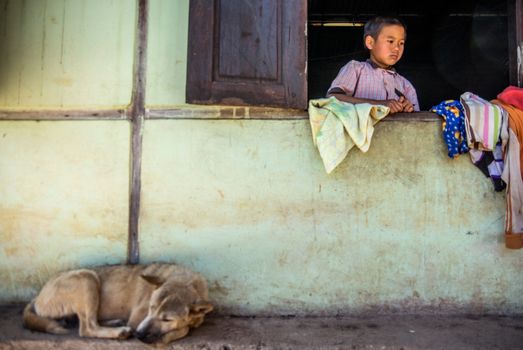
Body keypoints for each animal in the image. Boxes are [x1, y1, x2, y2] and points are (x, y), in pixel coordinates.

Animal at [23, 264, 213, 344]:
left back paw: (115, 323)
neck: (185, 280)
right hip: (88, 278)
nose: (139, 334)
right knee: (87, 327)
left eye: (167, 319)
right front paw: (167, 337)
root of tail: (38, 295)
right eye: (150, 308)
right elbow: (185, 329)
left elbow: (188, 326)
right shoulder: (137, 319)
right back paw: (119, 331)